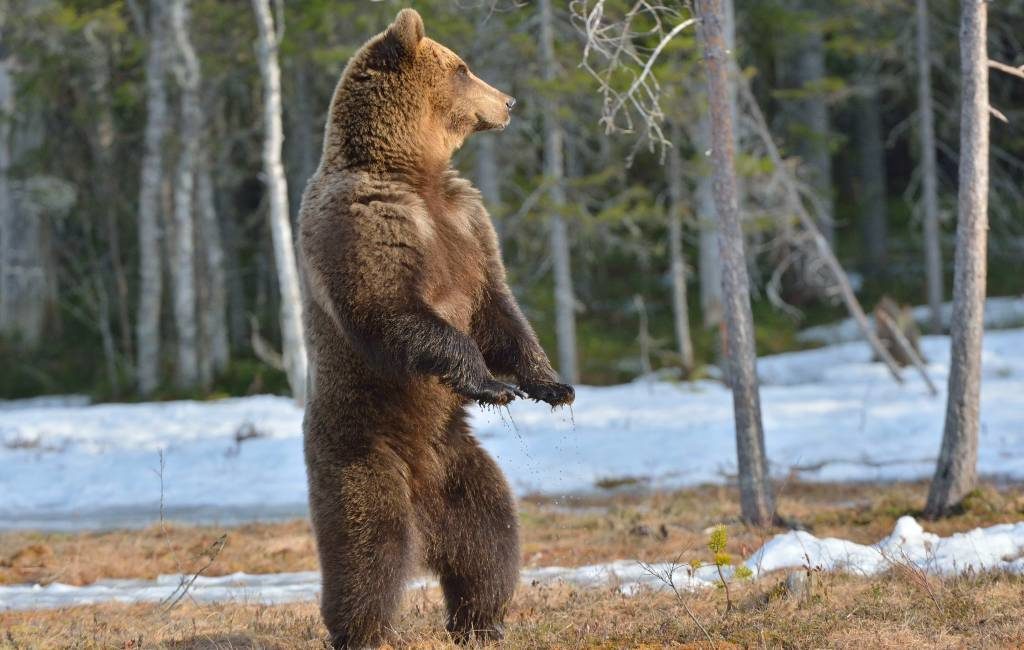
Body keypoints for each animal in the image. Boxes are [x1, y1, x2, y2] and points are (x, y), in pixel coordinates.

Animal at [296, 7, 577, 646]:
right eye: (464, 67)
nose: (509, 100)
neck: (412, 171)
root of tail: (424, 515)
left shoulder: (468, 225)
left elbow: (499, 310)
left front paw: (552, 385)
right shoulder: (367, 221)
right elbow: (392, 309)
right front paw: (491, 383)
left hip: (458, 463)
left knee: (490, 537)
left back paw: (482, 620)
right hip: (360, 449)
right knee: (367, 550)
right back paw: (361, 629)